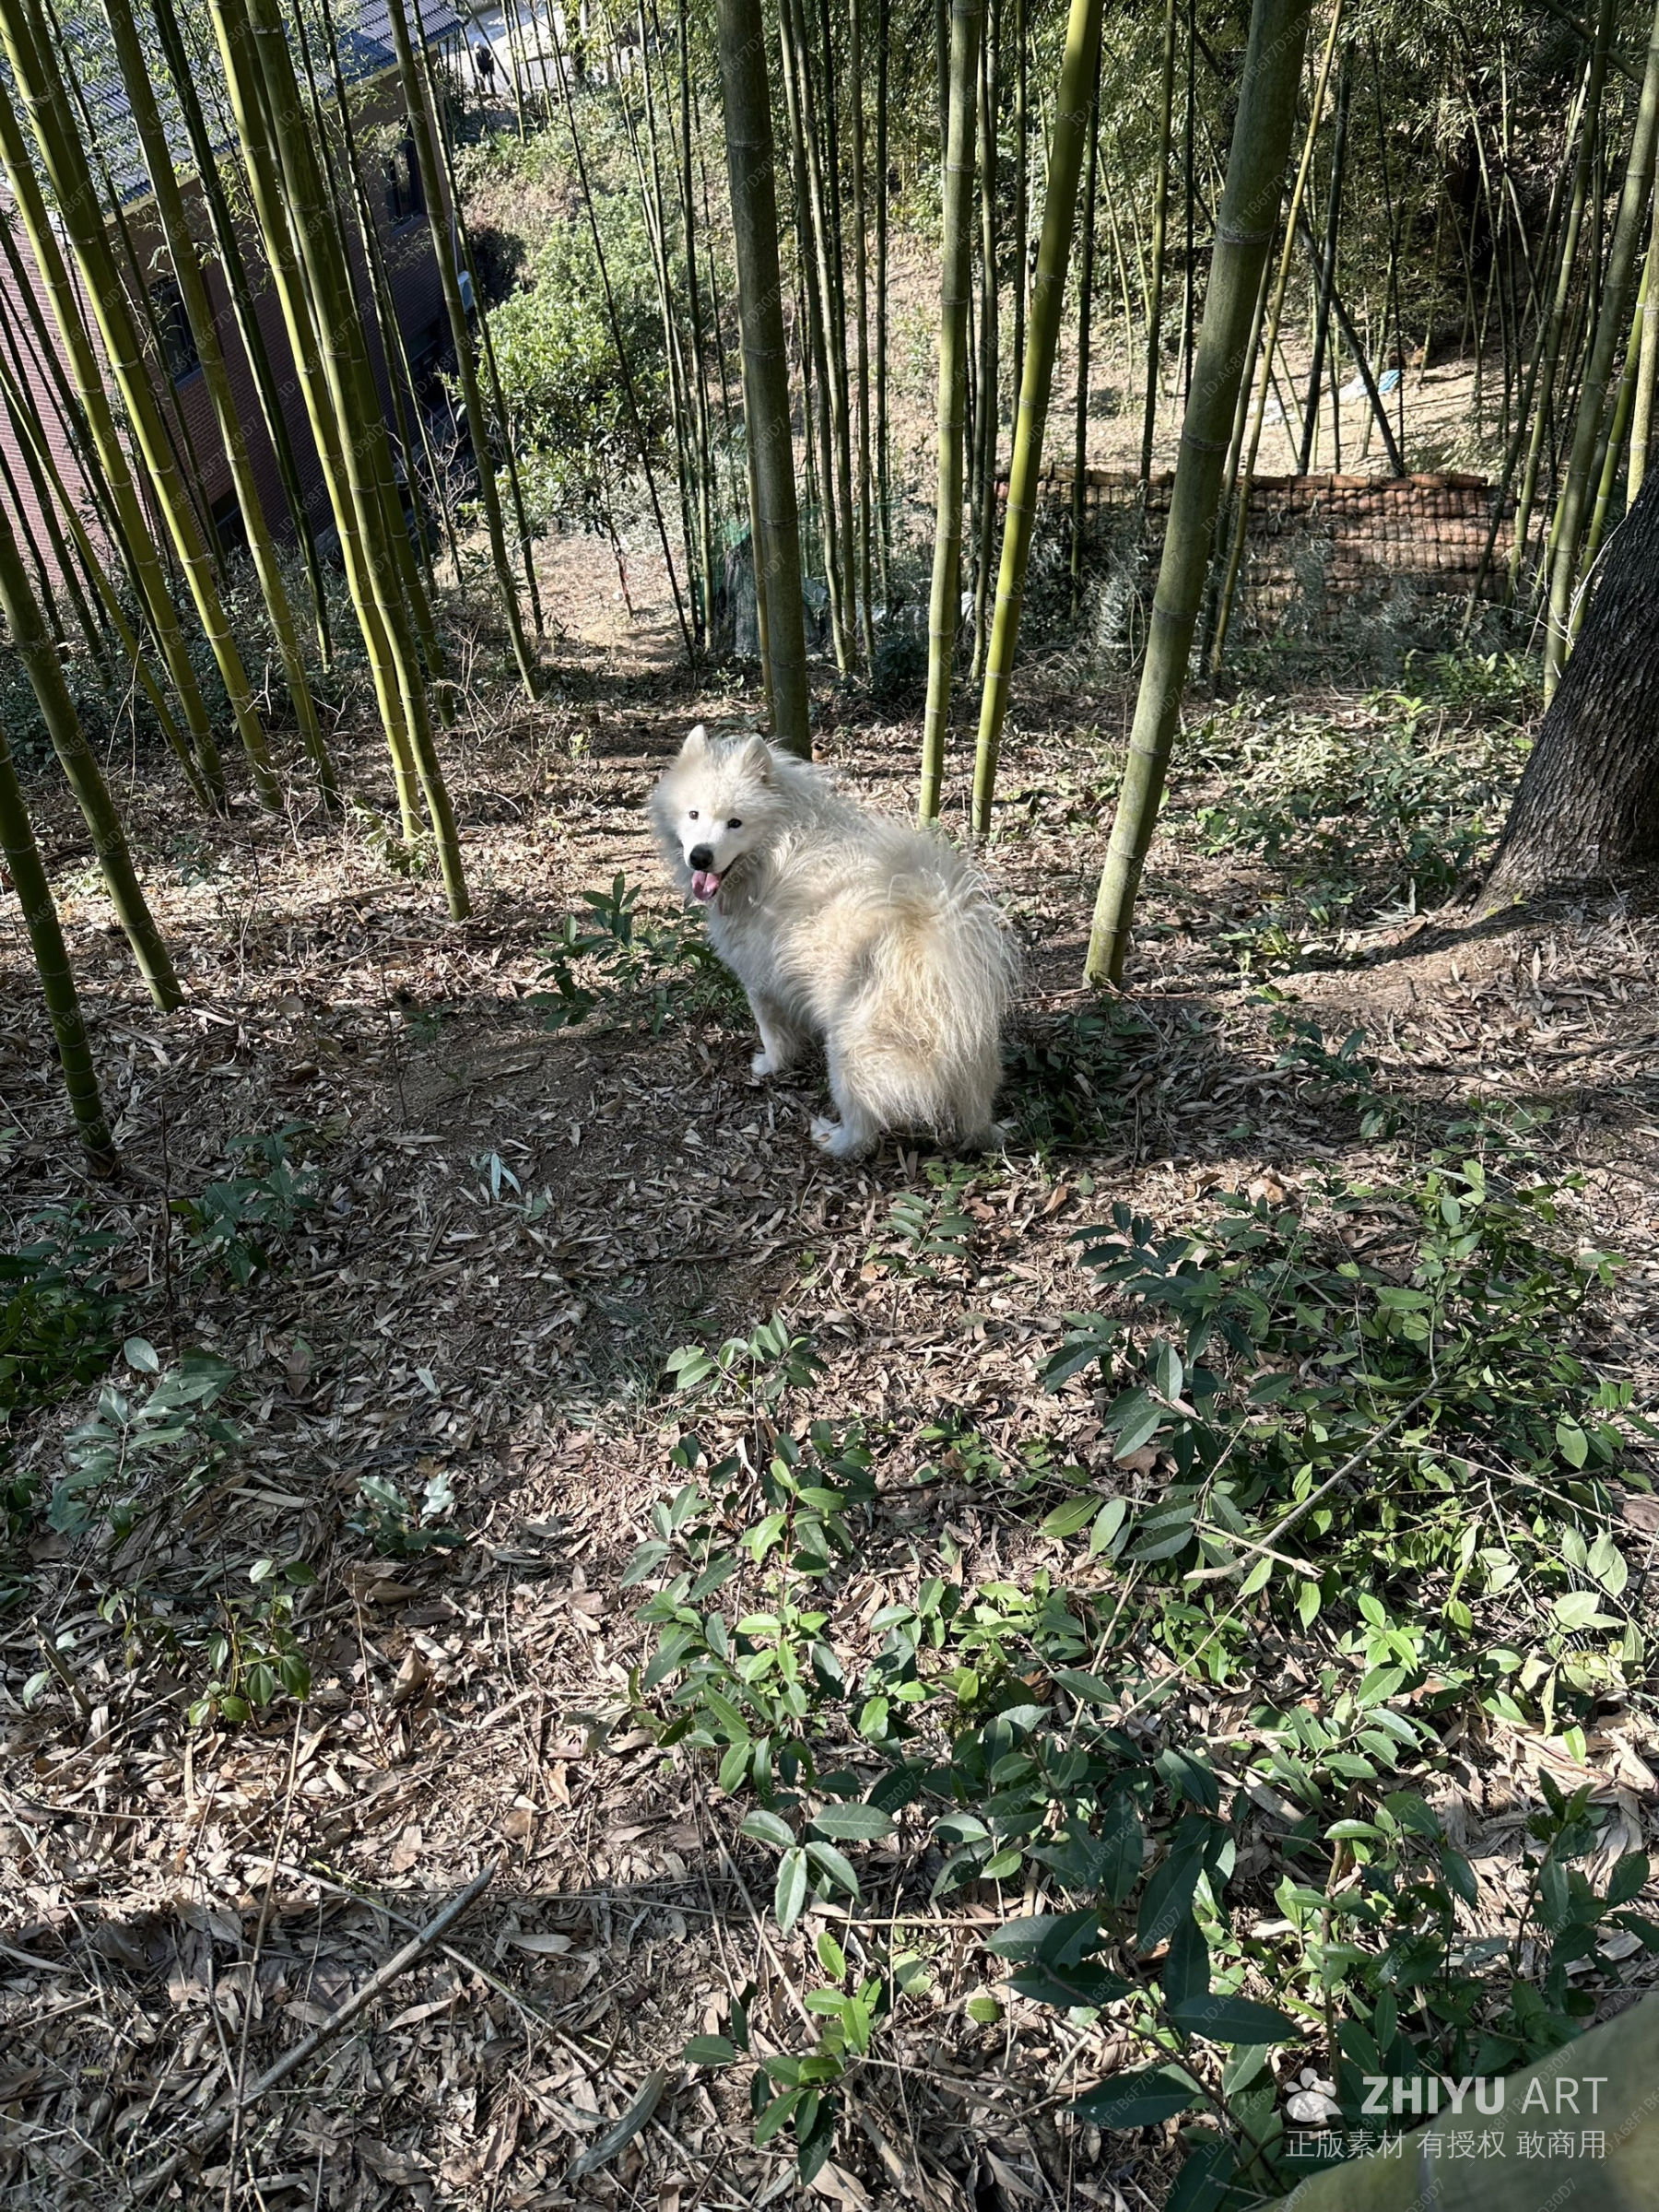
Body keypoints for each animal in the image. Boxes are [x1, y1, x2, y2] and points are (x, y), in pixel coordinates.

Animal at [650, 726, 1017, 1158]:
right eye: (693, 814)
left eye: (735, 823)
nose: (700, 857)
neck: (775, 847)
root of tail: (934, 943)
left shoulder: (758, 979)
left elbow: (771, 1032)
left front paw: (770, 1065)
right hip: (975, 1062)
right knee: (976, 1118)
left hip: (848, 1050)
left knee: (864, 1131)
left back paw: (831, 1138)